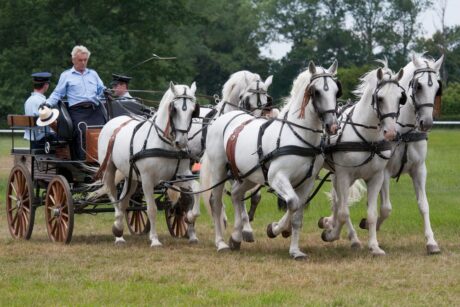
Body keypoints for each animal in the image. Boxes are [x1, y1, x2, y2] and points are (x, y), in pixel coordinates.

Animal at [97, 82, 201, 248]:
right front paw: (154, 240)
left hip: (131, 176)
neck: (165, 144)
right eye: (174, 109)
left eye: (193, 111)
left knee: (124, 200)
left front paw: (190, 217)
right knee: (113, 194)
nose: (182, 142)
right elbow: (151, 208)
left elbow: (196, 189)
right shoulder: (147, 180)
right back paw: (118, 231)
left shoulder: (181, 175)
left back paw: (120, 229)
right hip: (109, 170)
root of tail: (114, 121)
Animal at [201, 60, 342, 260]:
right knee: (216, 202)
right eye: (316, 92)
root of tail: (224, 117)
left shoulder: (307, 182)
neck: (299, 136)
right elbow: (292, 203)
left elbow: (297, 215)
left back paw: (236, 237)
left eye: (336, 91)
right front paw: (275, 229)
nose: (333, 126)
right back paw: (221, 243)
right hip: (219, 170)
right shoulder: (277, 177)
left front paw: (295, 250)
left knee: (236, 194)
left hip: (249, 176)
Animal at [318, 61, 404, 256]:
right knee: (338, 204)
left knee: (337, 202)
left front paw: (374, 246)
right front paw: (332, 233)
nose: (391, 133)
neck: (367, 139)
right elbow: (344, 212)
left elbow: (371, 214)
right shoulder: (344, 175)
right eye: (380, 98)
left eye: (400, 98)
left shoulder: (376, 177)